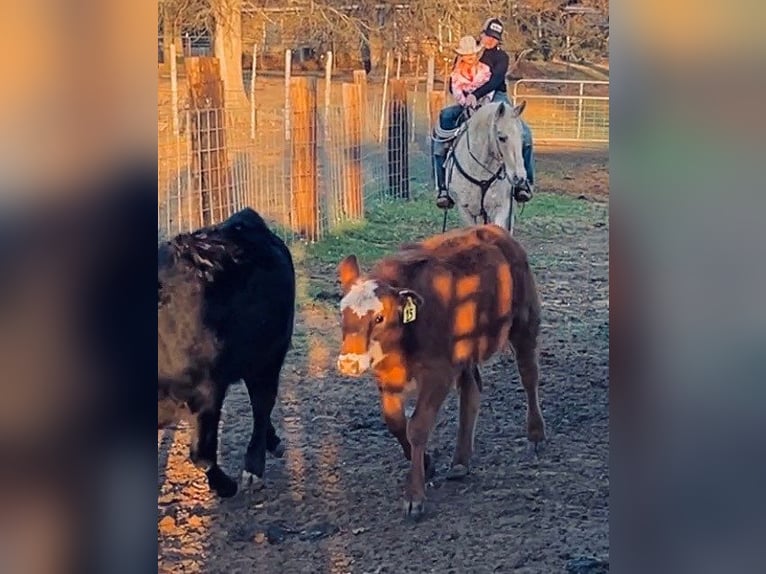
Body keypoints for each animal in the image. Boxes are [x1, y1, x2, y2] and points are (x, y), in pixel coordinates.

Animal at [158, 210, 296, 500]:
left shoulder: (207, 391)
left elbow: (202, 453)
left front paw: (226, 486)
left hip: (268, 356)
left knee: (262, 405)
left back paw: (254, 468)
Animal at [336, 223, 544, 520]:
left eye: (379, 317)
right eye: (342, 313)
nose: (349, 363)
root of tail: (492, 229)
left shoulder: (438, 374)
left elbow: (417, 427)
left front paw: (414, 496)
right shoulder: (386, 377)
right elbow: (395, 423)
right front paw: (425, 462)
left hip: (524, 321)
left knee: (528, 375)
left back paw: (535, 434)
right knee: (471, 390)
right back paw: (461, 461)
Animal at [436, 100, 532, 234]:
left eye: (522, 136)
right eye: (501, 137)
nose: (520, 177)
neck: (480, 172)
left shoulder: (501, 208)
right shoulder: (465, 211)